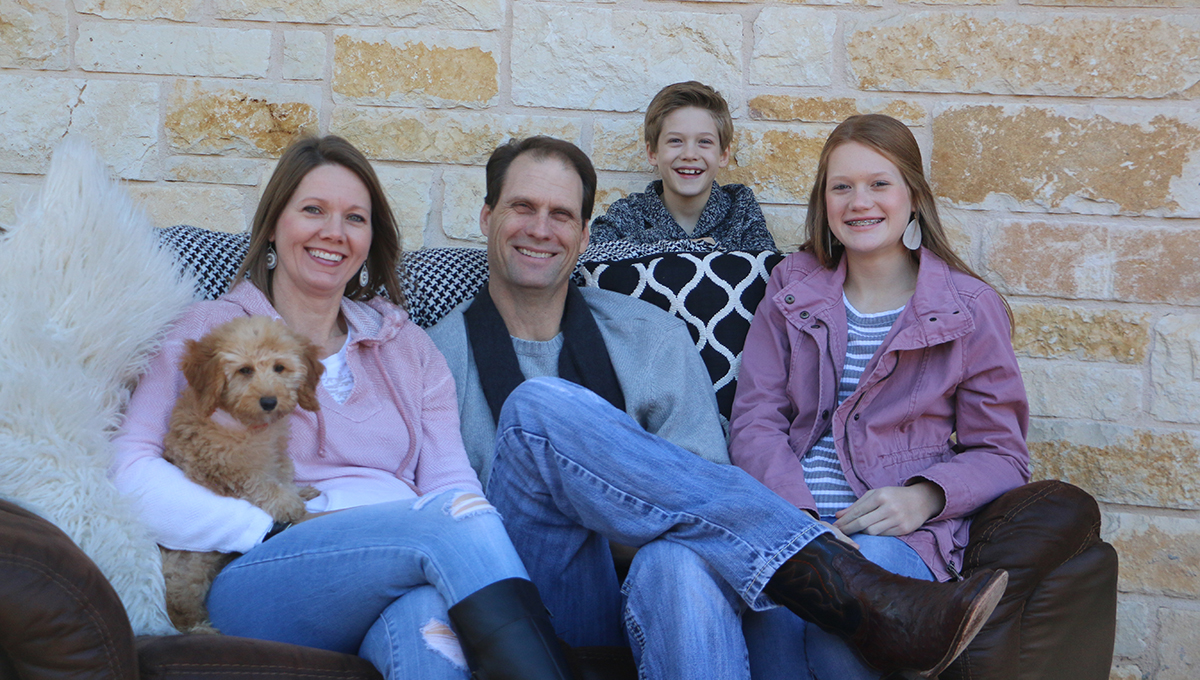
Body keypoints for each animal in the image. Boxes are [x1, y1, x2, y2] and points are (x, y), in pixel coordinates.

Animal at [163, 316, 328, 638]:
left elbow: (282, 473)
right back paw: (201, 630)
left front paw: (297, 492)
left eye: (279, 368)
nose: (269, 401)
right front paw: (289, 505)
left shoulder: (276, 456)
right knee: (178, 610)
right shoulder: (215, 465)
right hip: (186, 568)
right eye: (244, 370)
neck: (246, 426)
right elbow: (257, 482)